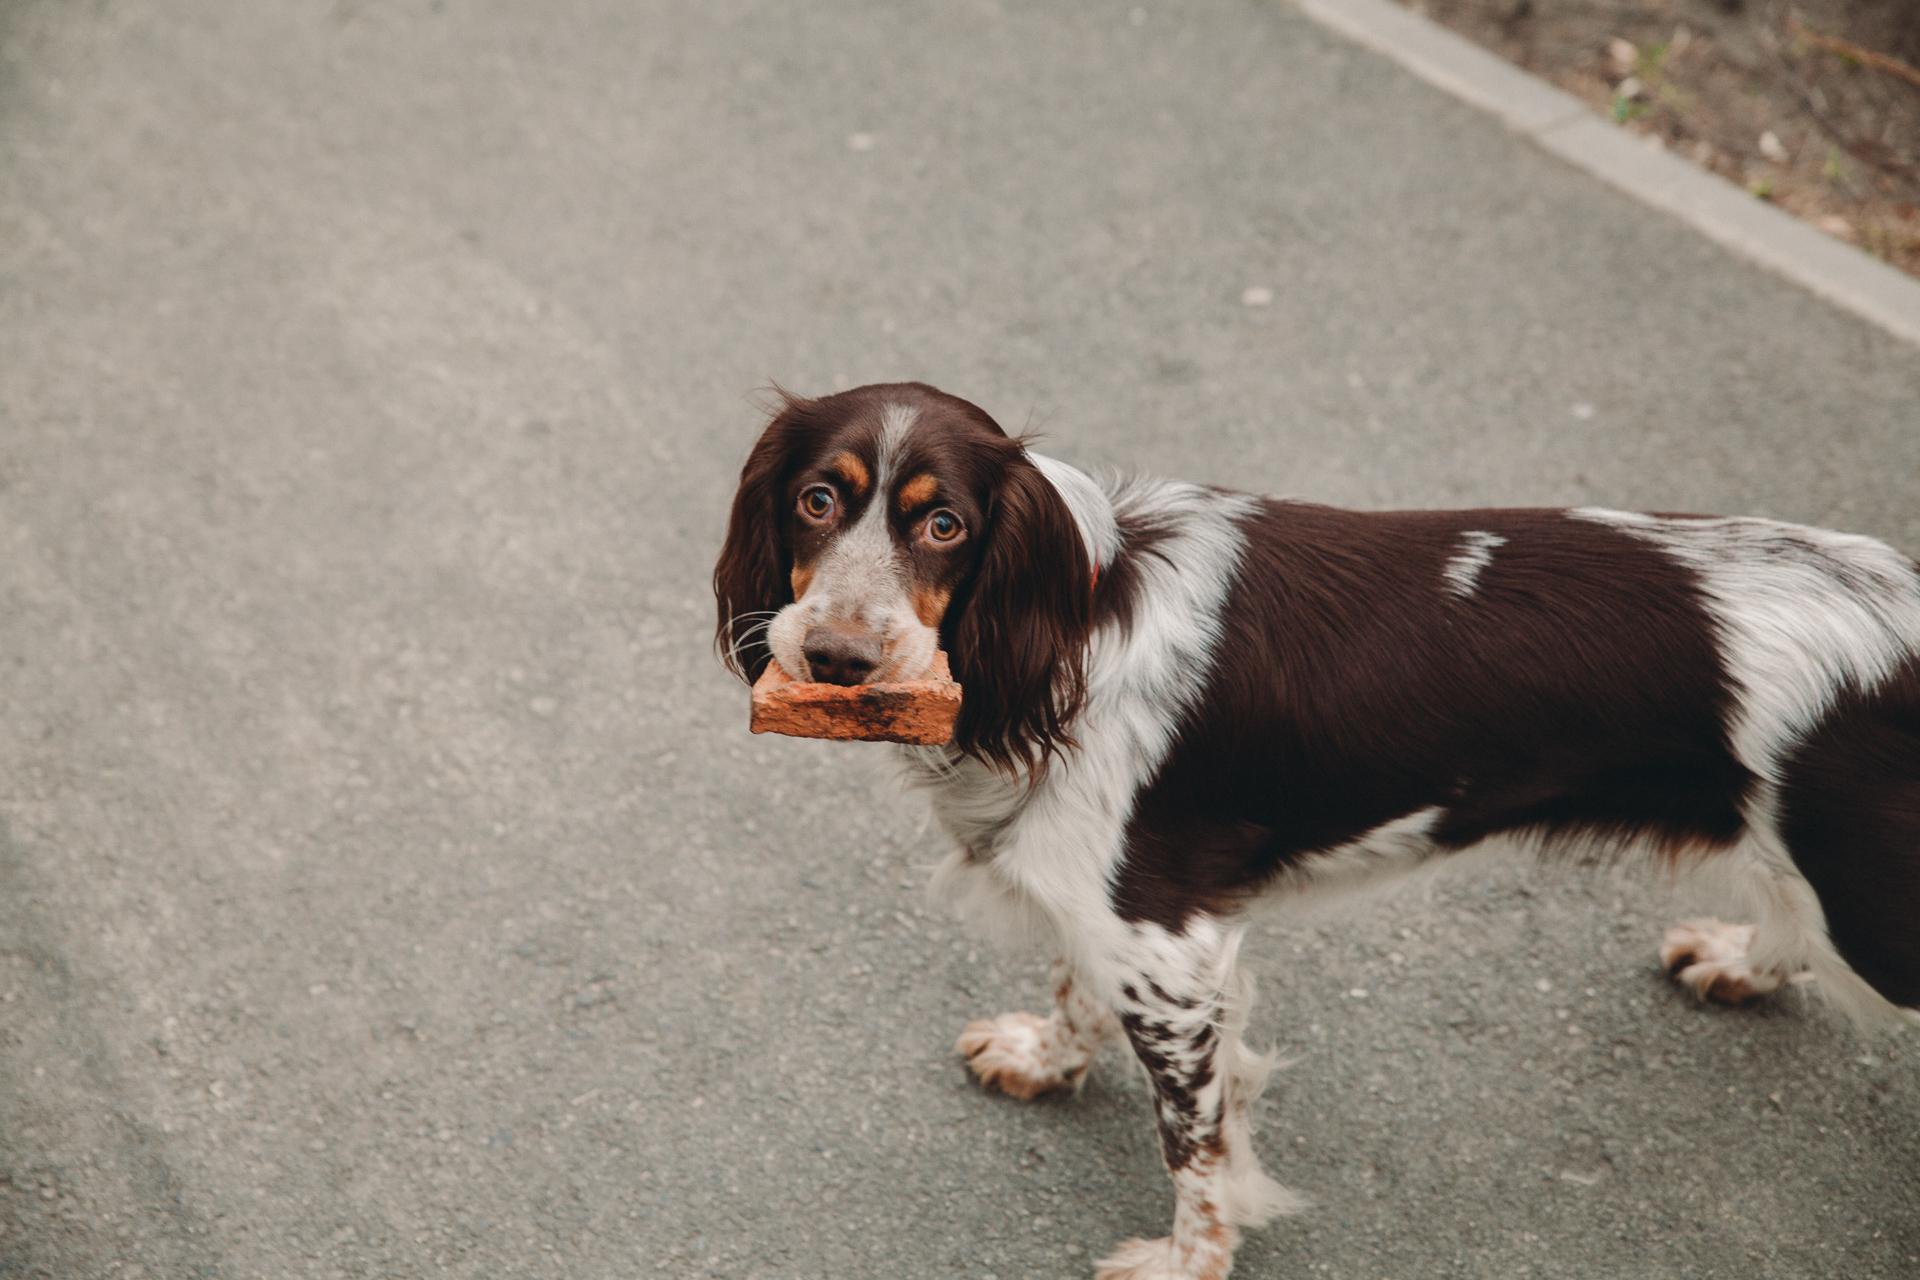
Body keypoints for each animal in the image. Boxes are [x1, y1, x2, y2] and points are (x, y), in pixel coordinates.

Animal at [710, 383, 1920, 1280]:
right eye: (817, 499)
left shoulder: (1168, 946)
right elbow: (1075, 990)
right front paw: (1044, 1059)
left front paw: (1188, 1261)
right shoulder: (1108, 913)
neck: (1074, 629)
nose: (835, 659)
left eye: (944, 524)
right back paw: (1739, 960)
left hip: (1873, 902)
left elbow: (1195, 1145)